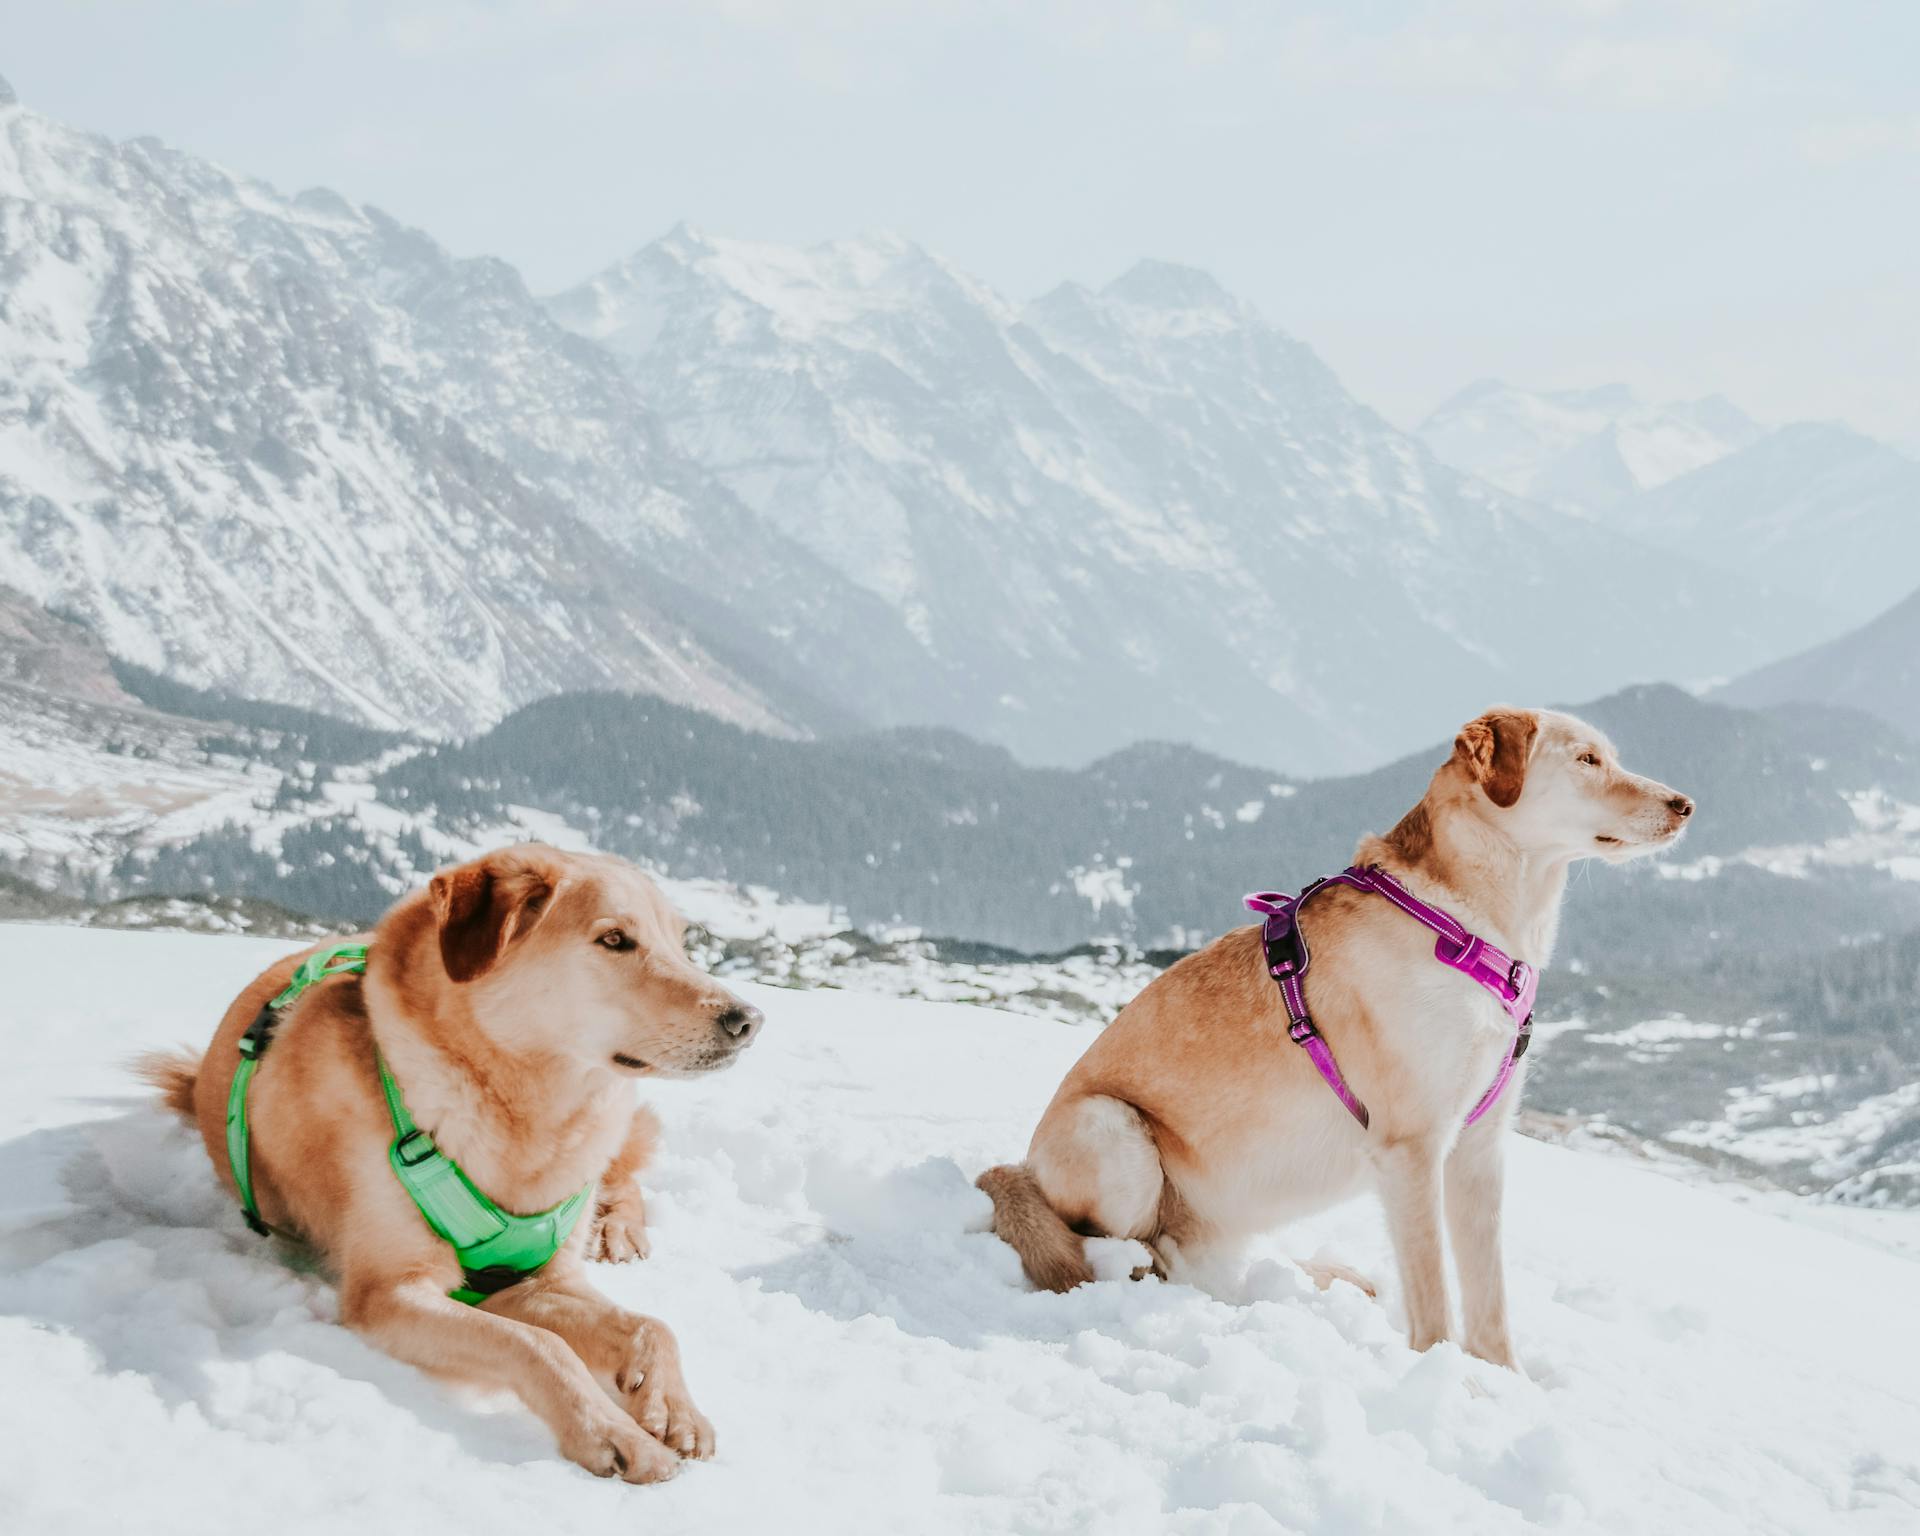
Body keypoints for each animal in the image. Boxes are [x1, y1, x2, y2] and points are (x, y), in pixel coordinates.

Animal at [142, 844, 764, 1482]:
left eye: (681, 942)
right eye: (614, 939)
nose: (747, 1021)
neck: (523, 1118)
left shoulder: (545, 1278)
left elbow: (650, 1325)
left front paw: (673, 1407)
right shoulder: (394, 1293)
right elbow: (538, 1345)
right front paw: (611, 1432)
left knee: (625, 1176)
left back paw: (617, 1230)